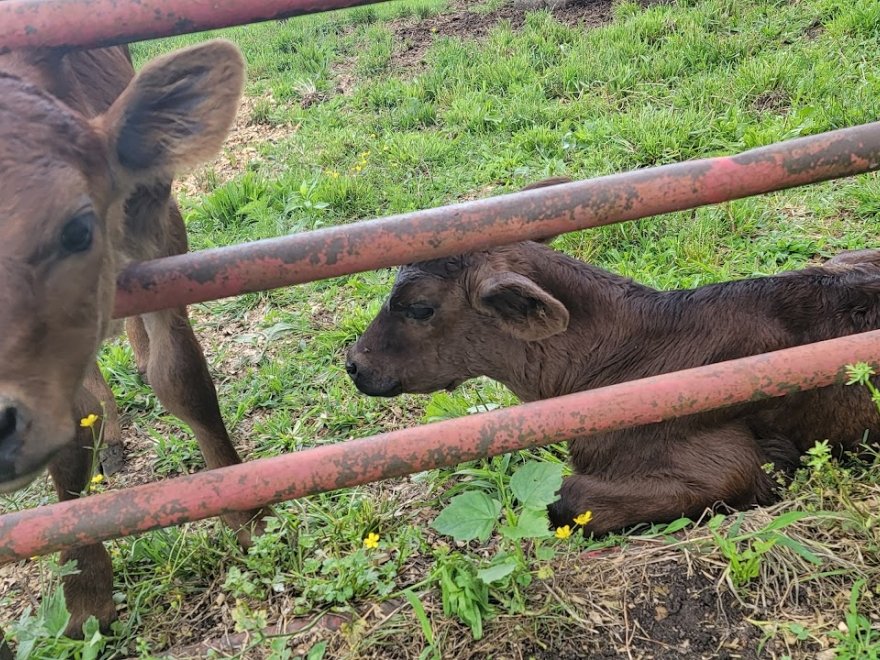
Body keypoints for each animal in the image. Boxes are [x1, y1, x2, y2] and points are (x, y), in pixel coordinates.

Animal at [0, 38, 264, 636]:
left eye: (76, 229)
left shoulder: (160, 224)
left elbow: (180, 376)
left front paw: (247, 512)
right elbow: (73, 432)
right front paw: (86, 590)